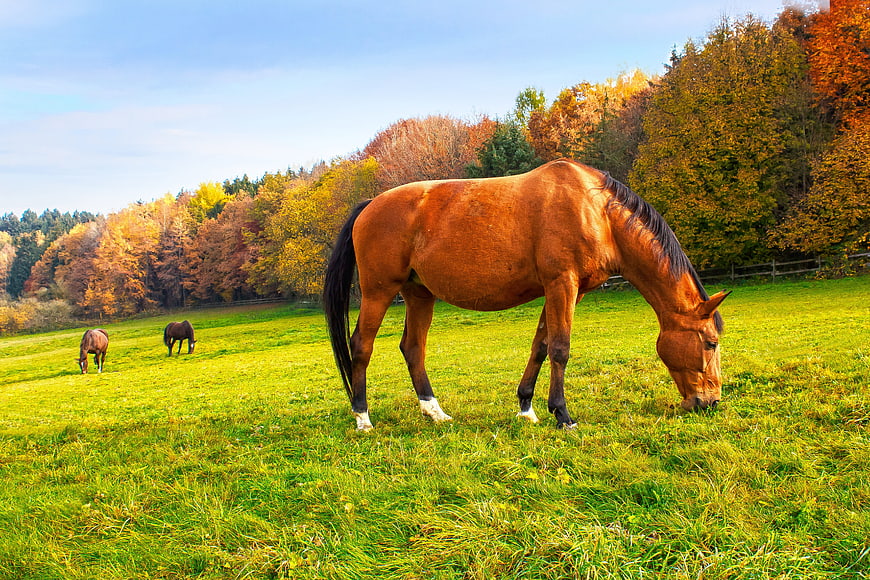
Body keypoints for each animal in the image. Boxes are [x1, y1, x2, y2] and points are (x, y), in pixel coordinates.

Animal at [324, 159, 729, 431]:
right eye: (710, 343)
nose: (709, 402)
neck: (596, 211)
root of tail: (369, 205)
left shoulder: (567, 291)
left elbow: (541, 346)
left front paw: (527, 408)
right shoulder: (561, 284)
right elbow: (561, 348)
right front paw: (563, 415)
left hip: (419, 294)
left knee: (412, 348)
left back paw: (435, 412)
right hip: (379, 291)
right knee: (362, 346)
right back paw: (363, 417)